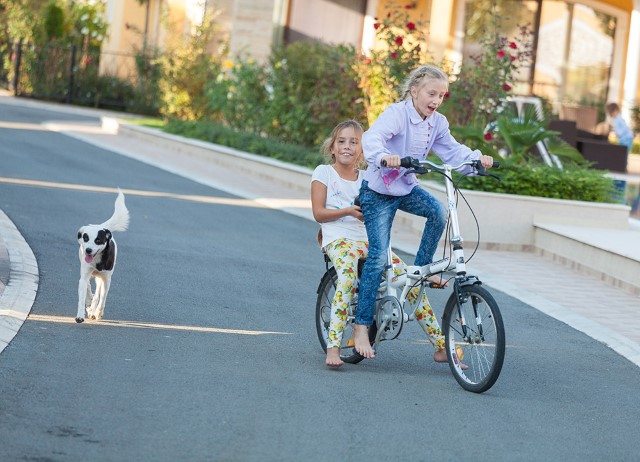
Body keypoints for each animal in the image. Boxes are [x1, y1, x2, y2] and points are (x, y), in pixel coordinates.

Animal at [76, 191, 130, 323]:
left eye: (98, 240)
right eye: (85, 238)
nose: (88, 250)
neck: (97, 259)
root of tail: (102, 226)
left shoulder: (106, 279)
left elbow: (102, 298)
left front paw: (98, 313)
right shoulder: (85, 273)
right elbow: (82, 295)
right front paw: (80, 315)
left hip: (101, 278)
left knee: (98, 294)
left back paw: (93, 310)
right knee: (88, 286)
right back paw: (89, 304)